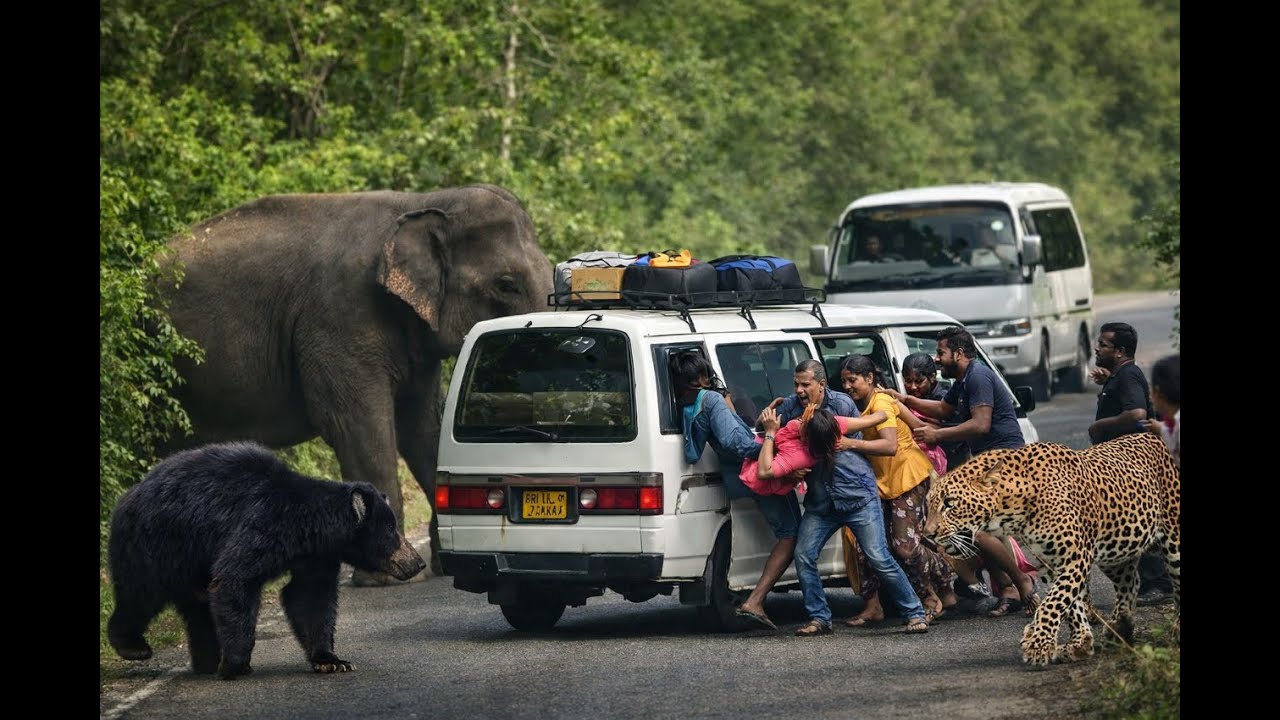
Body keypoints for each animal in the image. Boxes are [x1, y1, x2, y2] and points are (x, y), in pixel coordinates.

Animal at [157, 184, 553, 583]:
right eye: (506, 284)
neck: (421, 202)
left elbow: (423, 425)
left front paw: (442, 565)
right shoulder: (341, 317)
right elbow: (355, 424)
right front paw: (388, 575)